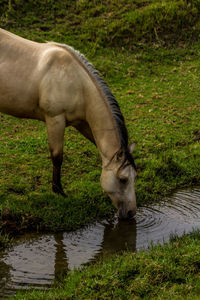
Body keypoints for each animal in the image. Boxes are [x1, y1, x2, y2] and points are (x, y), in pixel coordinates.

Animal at [0, 28, 136, 219]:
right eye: (123, 179)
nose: (131, 212)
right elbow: (57, 156)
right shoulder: (55, 119)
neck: (77, 83)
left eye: (135, 177)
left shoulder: (82, 123)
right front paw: (58, 191)